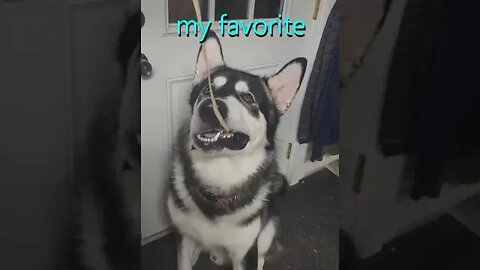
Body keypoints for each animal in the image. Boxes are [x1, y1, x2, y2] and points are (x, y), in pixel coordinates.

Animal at [167, 32, 306, 270]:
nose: (209, 108)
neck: (219, 174)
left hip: (267, 230)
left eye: (248, 98)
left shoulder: (246, 250)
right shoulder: (183, 236)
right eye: (207, 90)